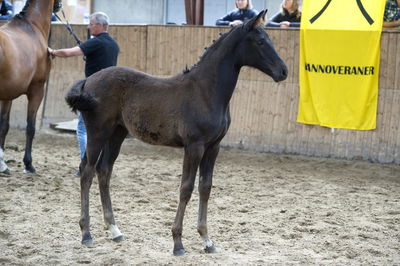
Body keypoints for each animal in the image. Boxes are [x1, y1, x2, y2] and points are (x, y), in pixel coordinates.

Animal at [0, 0, 61, 175]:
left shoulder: (7, 95)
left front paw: (2, 163)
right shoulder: (37, 90)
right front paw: (28, 164)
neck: (32, 27)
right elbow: (30, 127)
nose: (59, 6)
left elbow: (4, 125)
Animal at [65, 9, 288, 256]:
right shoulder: (194, 146)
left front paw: (207, 240)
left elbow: (205, 187)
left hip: (117, 134)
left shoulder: (213, 147)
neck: (206, 91)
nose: (283, 71)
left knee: (104, 171)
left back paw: (114, 230)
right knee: (87, 172)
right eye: (260, 41)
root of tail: (88, 80)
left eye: (269, 39)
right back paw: (86, 234)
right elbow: (186, 188)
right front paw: (178, 243)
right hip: (98, 133)